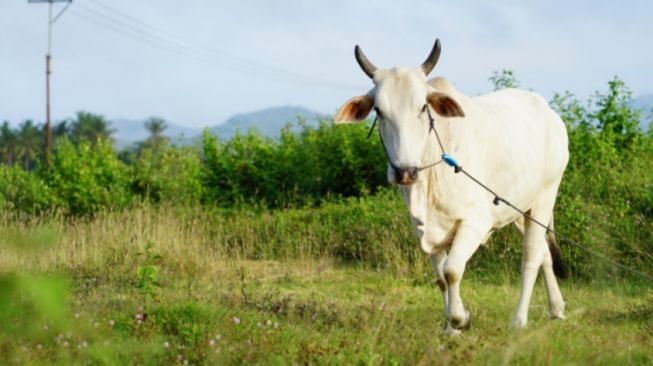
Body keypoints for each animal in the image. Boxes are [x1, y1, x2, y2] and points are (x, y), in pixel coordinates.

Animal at [334, 39, 568, 334]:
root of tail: (549, 112)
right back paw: (557, 308)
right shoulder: (424, 229)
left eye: (423, 107)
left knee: (532, 256)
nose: (405, 172)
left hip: (545, 197)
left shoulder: (475, 222)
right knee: (545, 254)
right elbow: (441, 278)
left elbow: (453, 270)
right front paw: (450, 327)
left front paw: (460, 319)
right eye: (379, 111)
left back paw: (519, 320)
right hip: (519, 208)